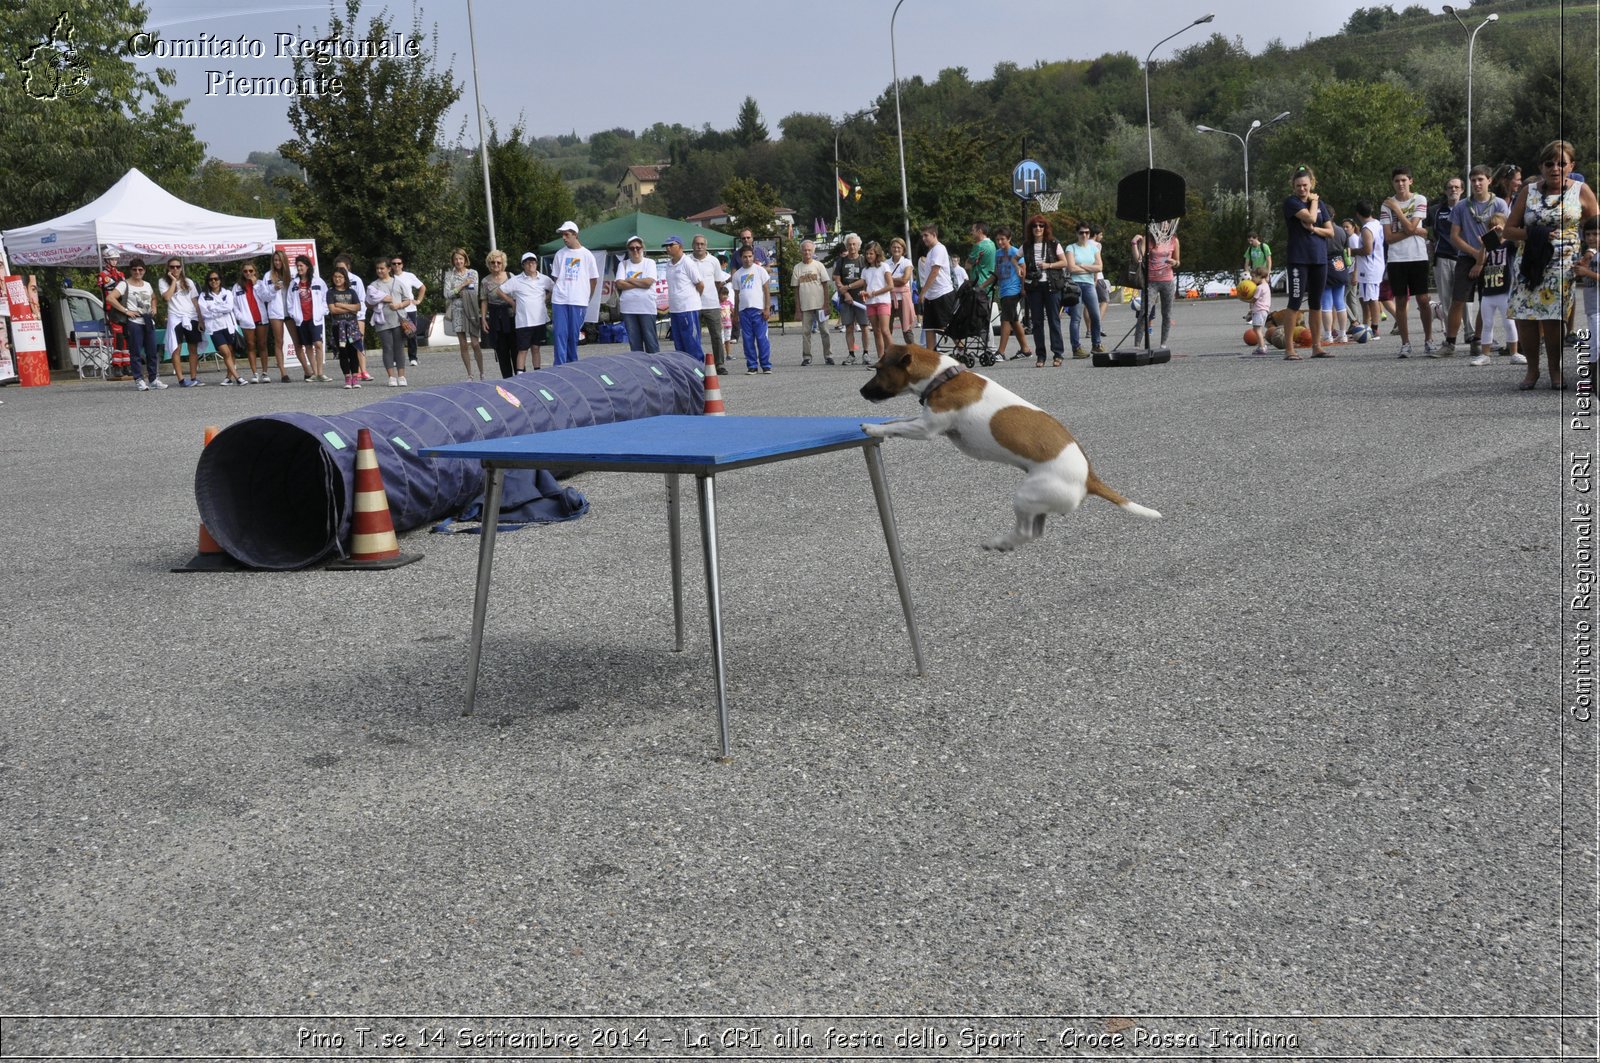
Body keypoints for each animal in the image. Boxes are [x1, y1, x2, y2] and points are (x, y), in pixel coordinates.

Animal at [864, 344, 1164, 550]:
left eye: (878, 369)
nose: (860, 392)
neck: (945, 376)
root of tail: (1090, 478)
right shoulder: (923, 420)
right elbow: (899, 421)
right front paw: (882, 424)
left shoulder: (927, 428)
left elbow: (897, 426)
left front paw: (872, 428)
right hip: (1037, 503)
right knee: (1036, 531)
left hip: (1025, 496)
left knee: (1026, 532)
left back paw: (999, 543)